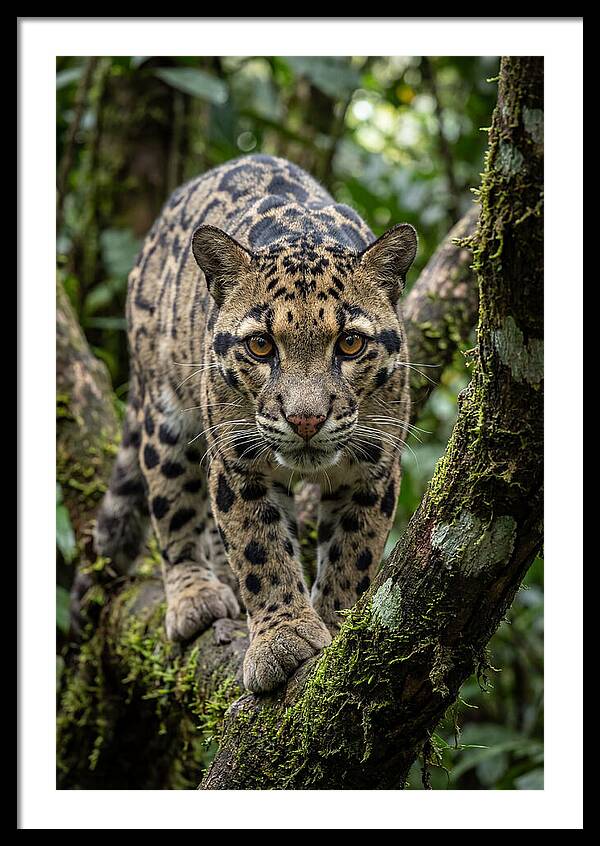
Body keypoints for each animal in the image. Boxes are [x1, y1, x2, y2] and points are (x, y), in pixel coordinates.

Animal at [95, 154, 417, 694]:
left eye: (350, 343)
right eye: (261, 345)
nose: (306, 419)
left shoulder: (374, 465)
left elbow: (354, 551)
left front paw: (336, 624)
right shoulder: (238, 460)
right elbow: (259, 548)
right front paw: (283, 640)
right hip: (165, 415)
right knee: (173, 508)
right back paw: (196, 595)